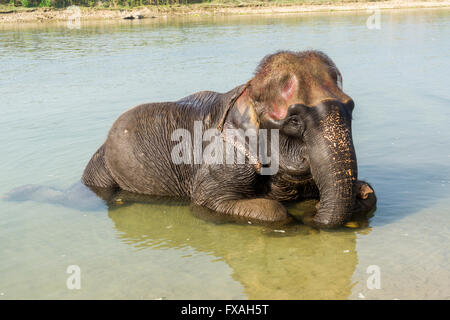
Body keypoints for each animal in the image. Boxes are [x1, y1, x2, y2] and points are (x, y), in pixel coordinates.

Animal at [80, 50, 376, 228]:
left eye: (351, 108)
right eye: (294, 120)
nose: (314, 215)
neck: (248, 89)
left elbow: (371, 193)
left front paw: (358, 192)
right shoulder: (226, 156)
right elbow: (208, 200)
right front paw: (294, 216)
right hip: (101, 169)